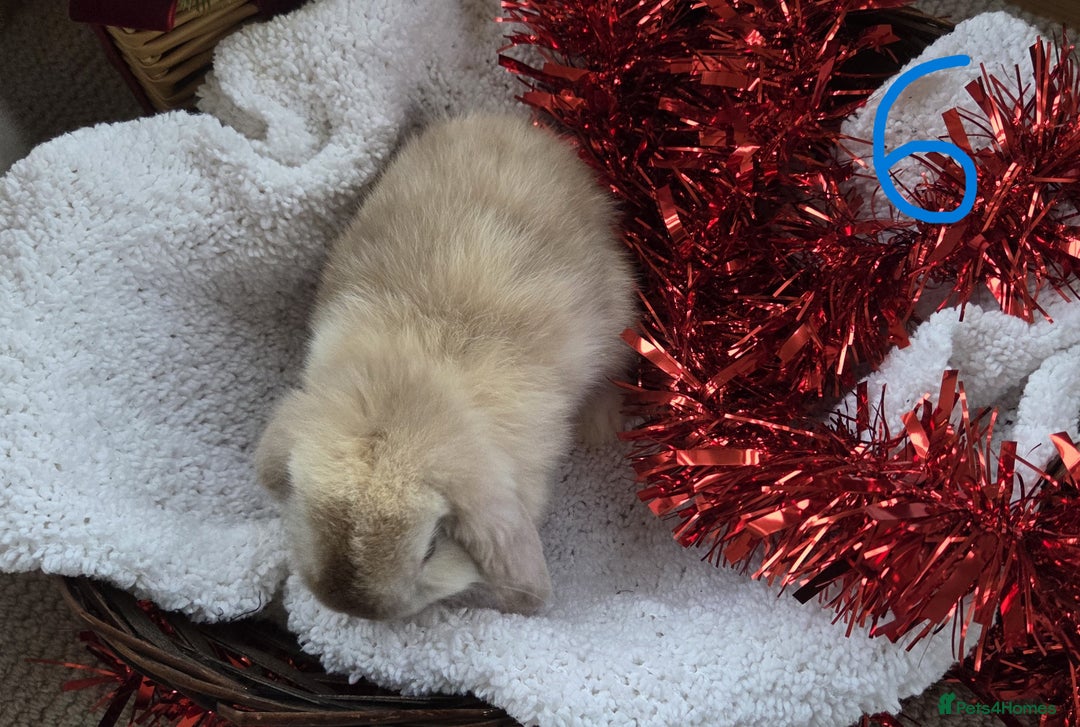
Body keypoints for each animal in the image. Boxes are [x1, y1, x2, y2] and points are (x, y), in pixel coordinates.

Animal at [254, 113, 637, 621]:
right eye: (306, 509)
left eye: (433, 547)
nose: (356, 609)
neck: (407, 395)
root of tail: (520, 126)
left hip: (618, 310)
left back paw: (602, 423)